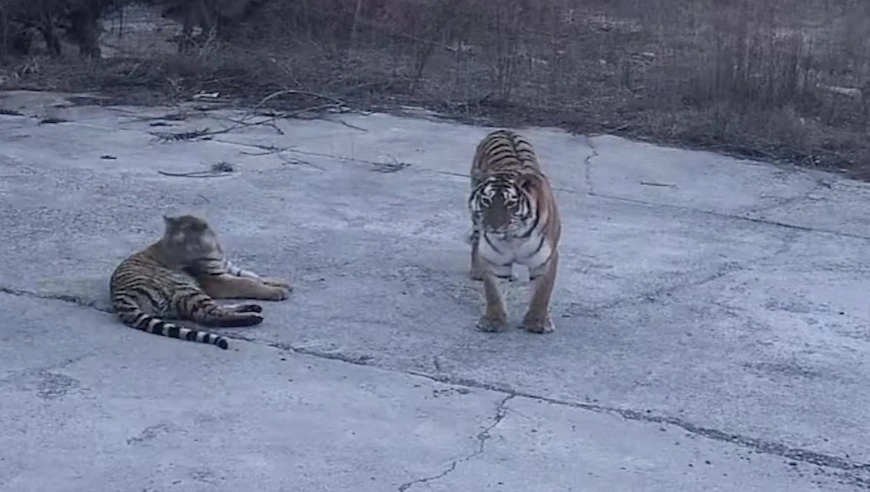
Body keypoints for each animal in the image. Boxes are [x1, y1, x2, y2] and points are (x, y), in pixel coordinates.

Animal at [108, 214, 292, 350]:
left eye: (181, 242)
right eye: (172, 243)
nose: (174, 264)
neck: (213, 249)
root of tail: (120, 297)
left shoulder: (226, 266)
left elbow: (252, 276)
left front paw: (282, 283)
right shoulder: (216, 280)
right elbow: (246, 283)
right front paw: (277, 291)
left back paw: (252, 308)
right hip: (186, 288)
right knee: (210, 315)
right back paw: (253, 317)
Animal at [470, 129, 564, 334]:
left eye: (510, 202)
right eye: (486, 200)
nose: (494, 226)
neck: (513, 238)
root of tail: (503, 130)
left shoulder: (546, 258)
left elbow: (542, 292)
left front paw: (537, 322)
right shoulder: (494, 258)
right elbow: (493, 292)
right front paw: (493, 320)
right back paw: (477, 271)